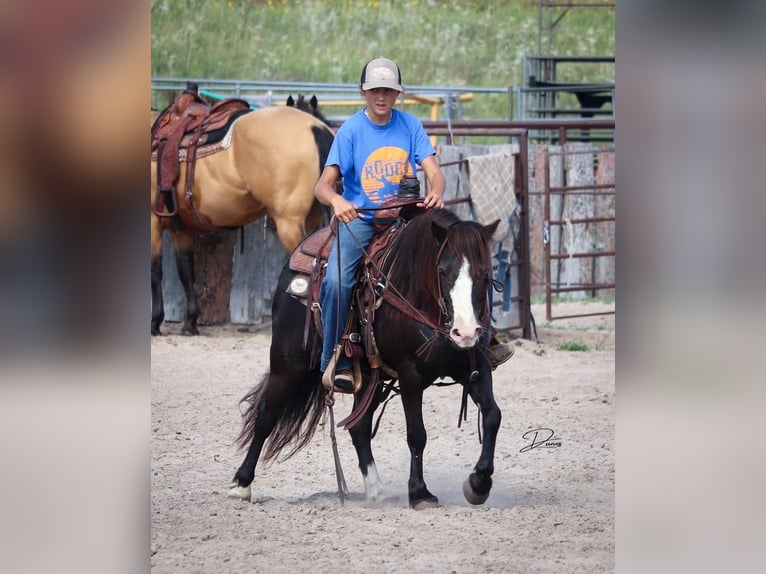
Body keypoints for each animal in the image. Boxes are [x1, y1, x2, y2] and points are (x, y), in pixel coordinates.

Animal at [152, 90, 334, 338]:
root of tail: (316, 128)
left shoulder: (153, 222)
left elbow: (155, 272)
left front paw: (155, 322)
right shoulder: (180, 228)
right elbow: (186, 271)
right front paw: (190, 322)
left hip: (289, 223)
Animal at [228, 206, 504, 508]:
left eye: (484, 273)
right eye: (443, 271)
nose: (465, 332)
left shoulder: (475, 367)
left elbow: (493, 416)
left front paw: (478, 484)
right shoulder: (410, 374)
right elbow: (416, 434)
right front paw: (420, 492)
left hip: (370, 378)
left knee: (358, 427)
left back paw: (377, 490)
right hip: (288, 363)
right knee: (266, 414)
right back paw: (241, 484)